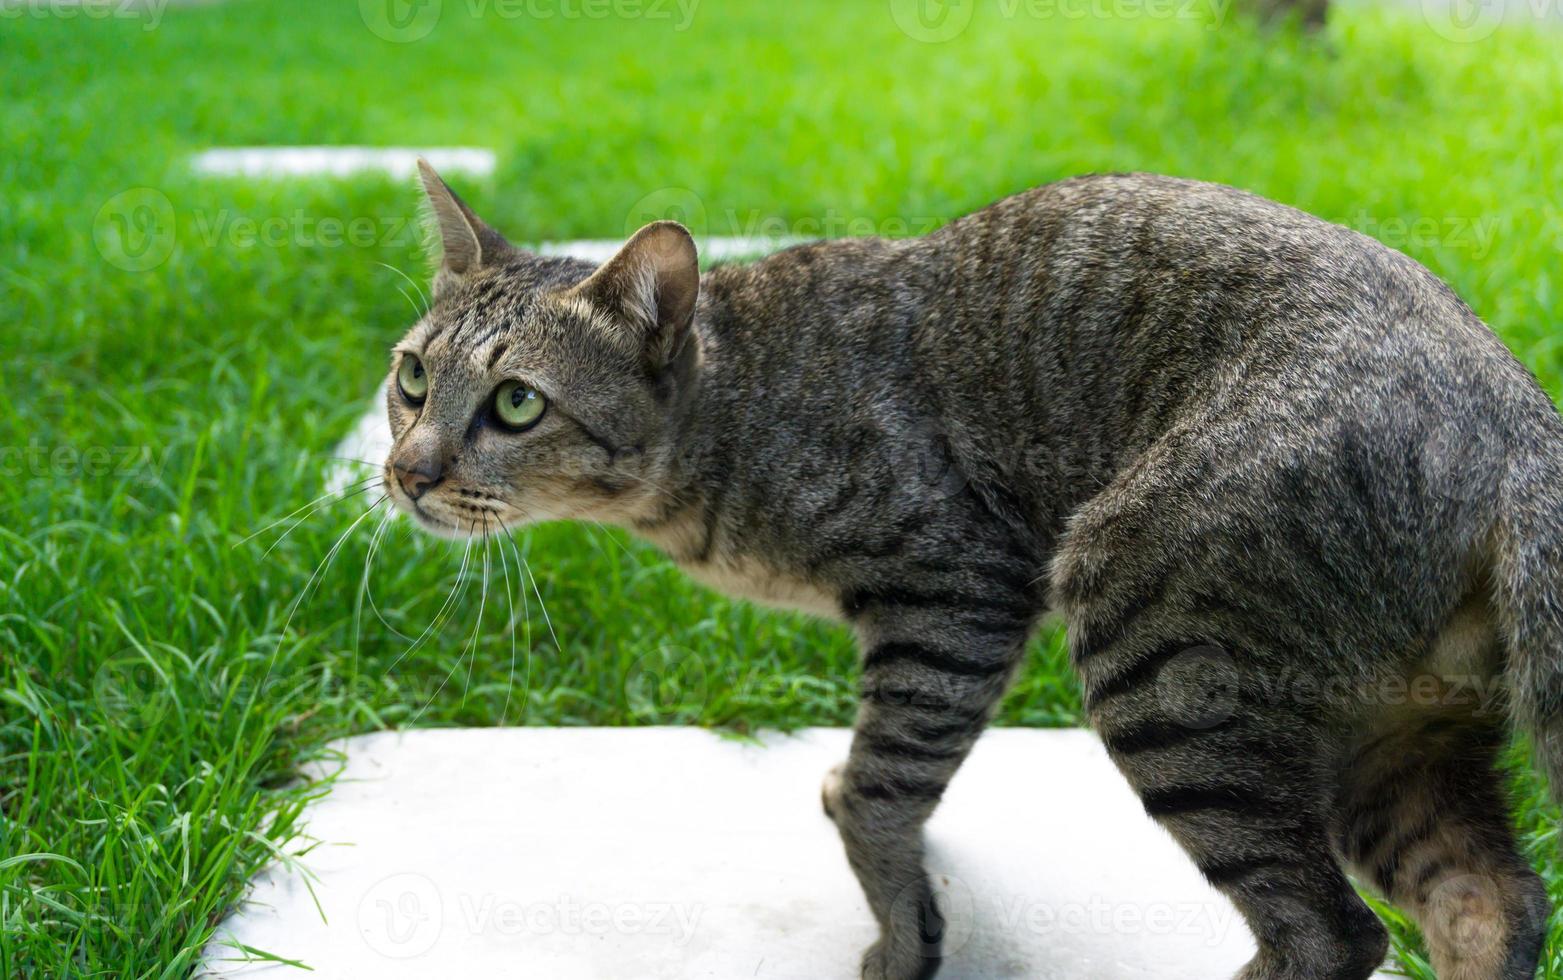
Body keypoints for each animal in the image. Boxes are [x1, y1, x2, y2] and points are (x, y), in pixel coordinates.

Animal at [381, 164, 1563, 975]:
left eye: (516, 403)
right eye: (411, 377)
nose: (402, 471)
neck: (734, 410)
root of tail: (1516, 413)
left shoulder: (954, 593)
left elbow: (882, 785)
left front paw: (902, 933)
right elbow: (882, 779)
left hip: (1151, 640)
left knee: (1333, 929)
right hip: (1392, 735)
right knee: (1493, 900)